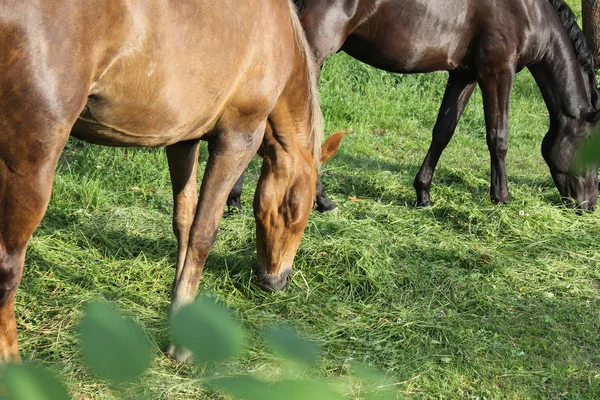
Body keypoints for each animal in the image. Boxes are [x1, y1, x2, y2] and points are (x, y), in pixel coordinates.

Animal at [0, 0, 324, 362]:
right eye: (299, 212)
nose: (275, 282)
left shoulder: (183, 140)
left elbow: (184, 221)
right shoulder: (237, 140)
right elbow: (202, 233)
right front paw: (183, 345)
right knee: (7, 272)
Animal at [231, 0, 600, 212]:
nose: (589, 205)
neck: (529, 11)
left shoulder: (464, 75)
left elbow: (443, 132)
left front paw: (423, 194)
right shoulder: (498, 72)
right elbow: (498, 137)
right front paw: (502, 197)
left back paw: (236, 198)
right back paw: (320, 200)